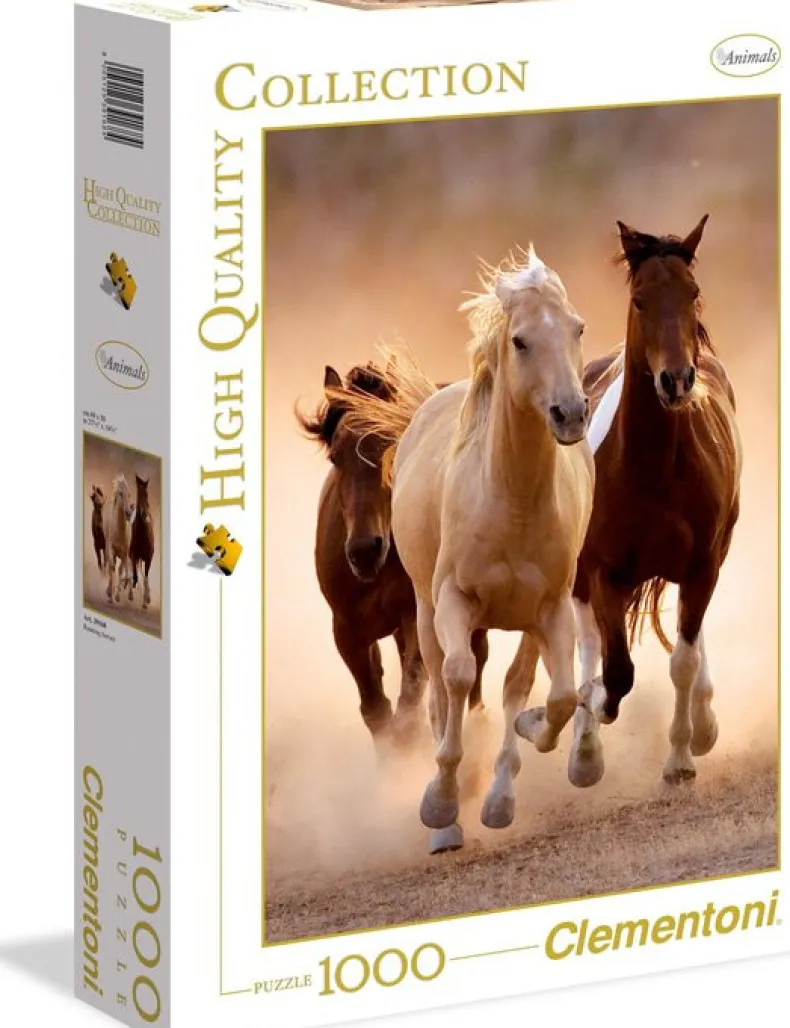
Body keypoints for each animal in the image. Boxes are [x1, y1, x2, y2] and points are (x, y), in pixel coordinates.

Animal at [298, 362, 489, 750]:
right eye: (335, 456)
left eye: (391, 445)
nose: (364, 551)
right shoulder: (348, 631)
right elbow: (376, 710)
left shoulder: (416, 615)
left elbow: (410, 700)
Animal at [339, 248, 594, 852]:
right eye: (520, 340)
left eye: (576, 328)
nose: (571, 413)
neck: (512, 502)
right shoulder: (453, 601)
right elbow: (455, 679)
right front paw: (440, 803)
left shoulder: (550, 609)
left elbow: (554, 696)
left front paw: (524, 744)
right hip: (424, 611)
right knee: (438, 687)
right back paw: (447, 819)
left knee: (514, 684)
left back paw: (498, 793)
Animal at [567, 216, 742, 790]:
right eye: (640, 300)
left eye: (693, 292)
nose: (677, 380)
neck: (655, 469)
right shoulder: (602, 569)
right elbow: (616, 670)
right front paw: (592, 718)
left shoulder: (702, 564)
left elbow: (681, 660)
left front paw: (682, 756)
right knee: (587, 641)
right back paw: (583, 748)